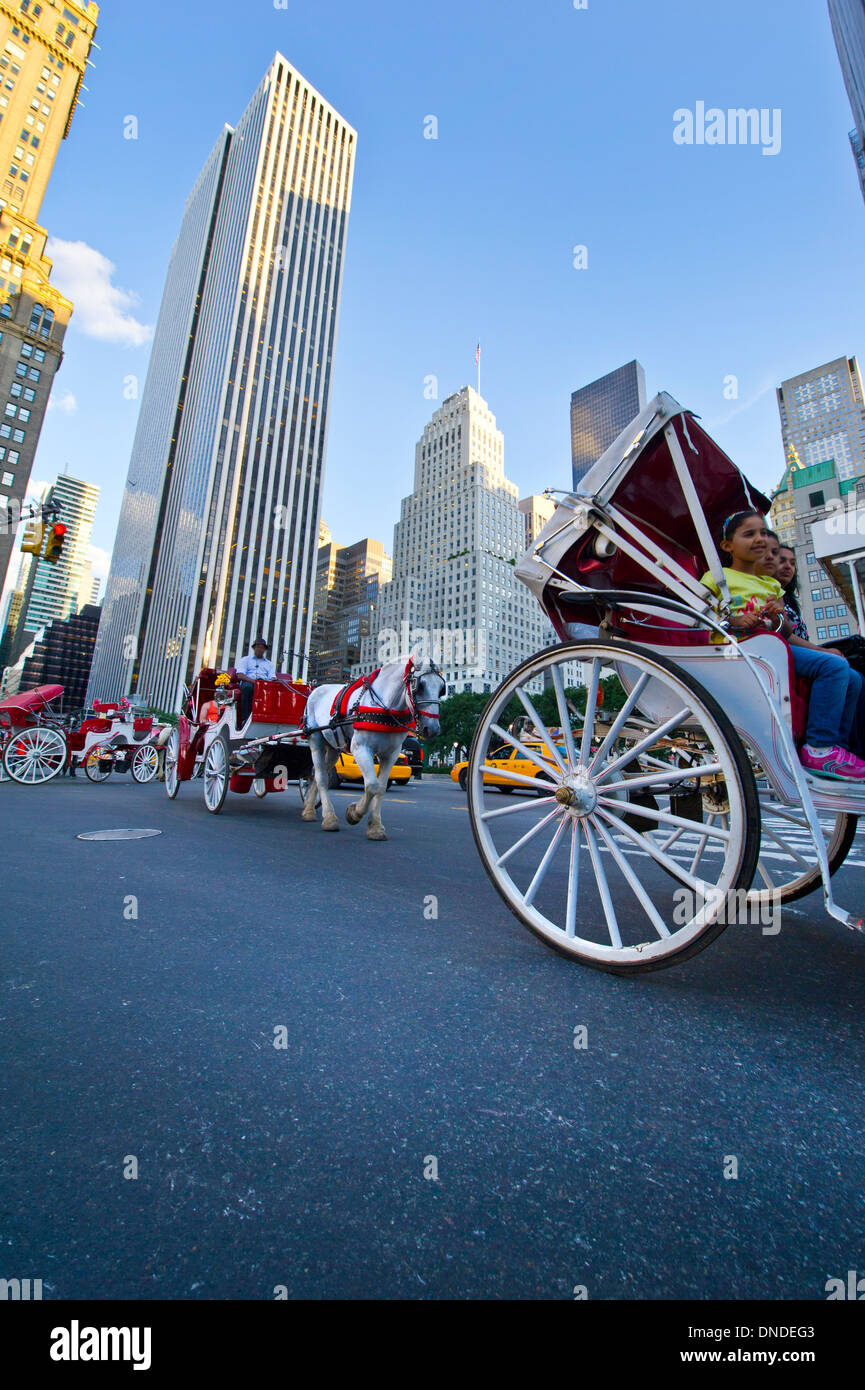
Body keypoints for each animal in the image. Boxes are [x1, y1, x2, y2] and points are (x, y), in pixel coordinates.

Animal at [301, 656, 445, 839]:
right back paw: (329, 818)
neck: (385, 706)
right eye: (419, 686)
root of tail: (316, 689)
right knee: (321, 777)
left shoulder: (391, 754)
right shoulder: (360, 748)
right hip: (316, 740)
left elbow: (381, 788)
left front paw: (375, 826)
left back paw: (309, 809)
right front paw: (354, 813)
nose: (432, 729)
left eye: (441, 689)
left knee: (318, 774)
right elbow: (371, 785)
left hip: (333, 747)